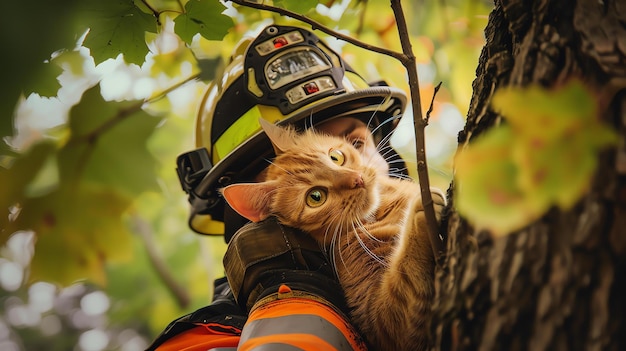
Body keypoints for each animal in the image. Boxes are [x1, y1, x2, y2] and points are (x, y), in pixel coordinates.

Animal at [219, 121, 444, 351]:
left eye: (335, 157)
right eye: (316, 197)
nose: (357, 179)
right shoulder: (383, 322)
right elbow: (406, 275)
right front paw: (420, 210)